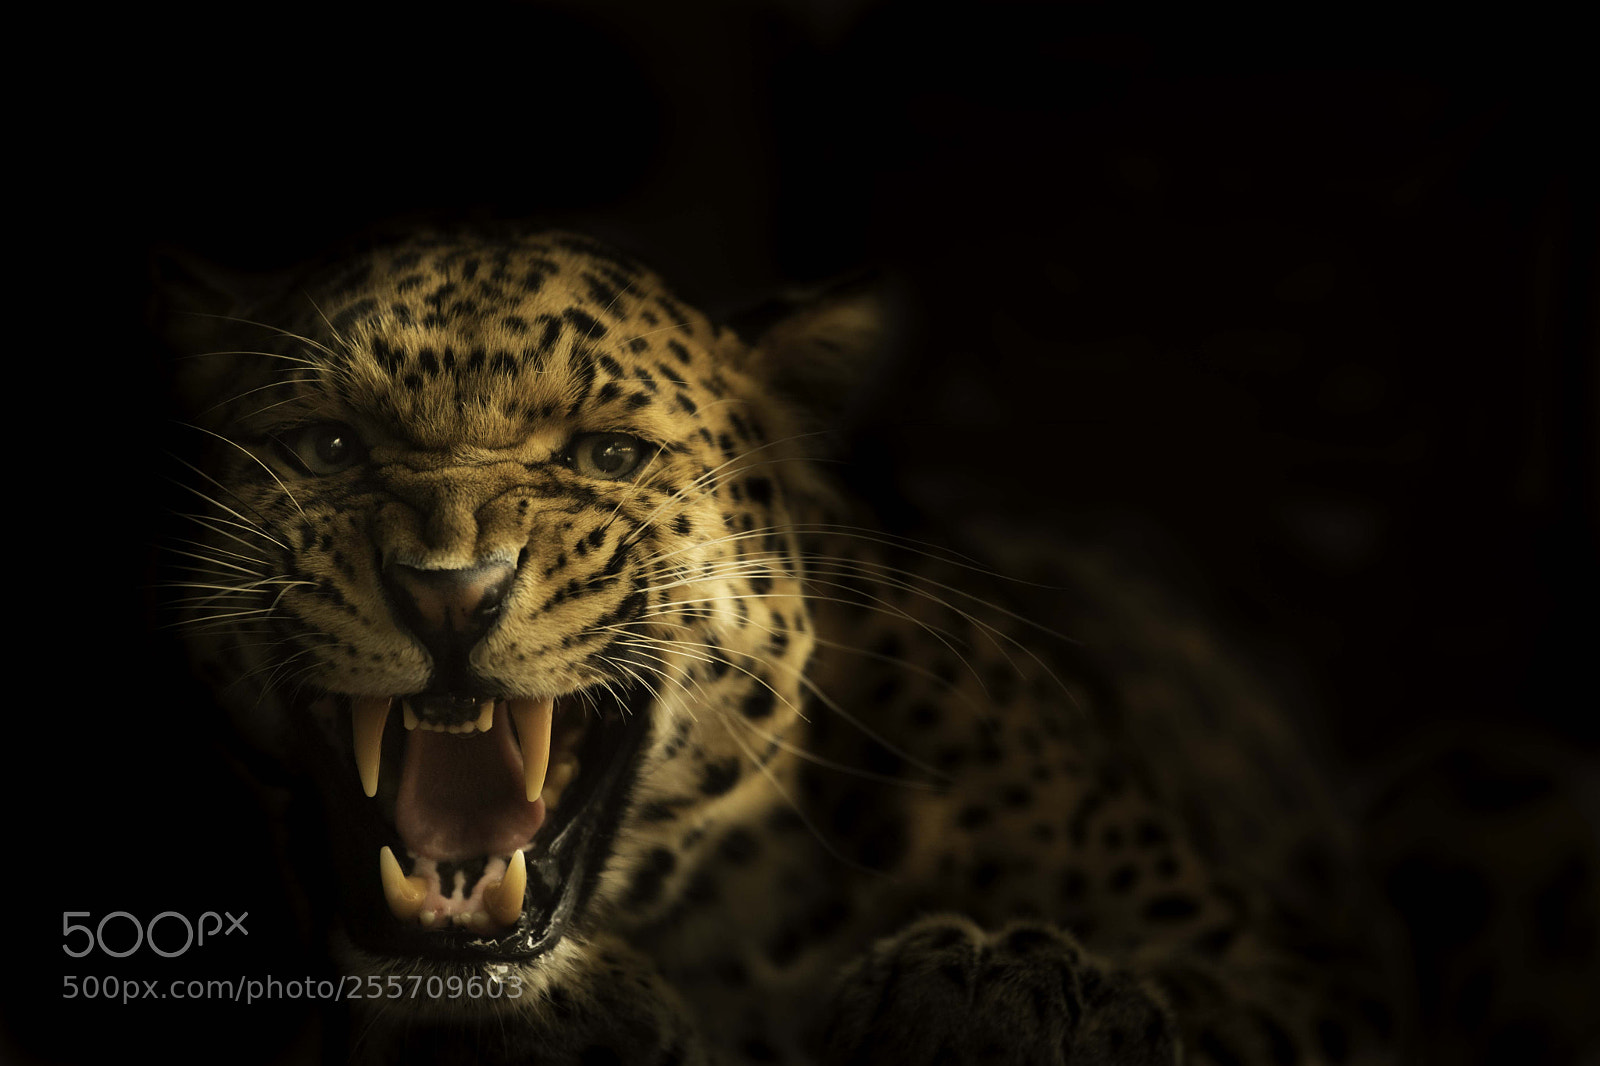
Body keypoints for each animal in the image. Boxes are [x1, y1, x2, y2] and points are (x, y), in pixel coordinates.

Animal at [161, 224, 1407, 1065]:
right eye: (326, 447)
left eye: (610, 457)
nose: (450, 592)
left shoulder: (1306, 967)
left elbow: (1222, 1007)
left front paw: (1007, 990)